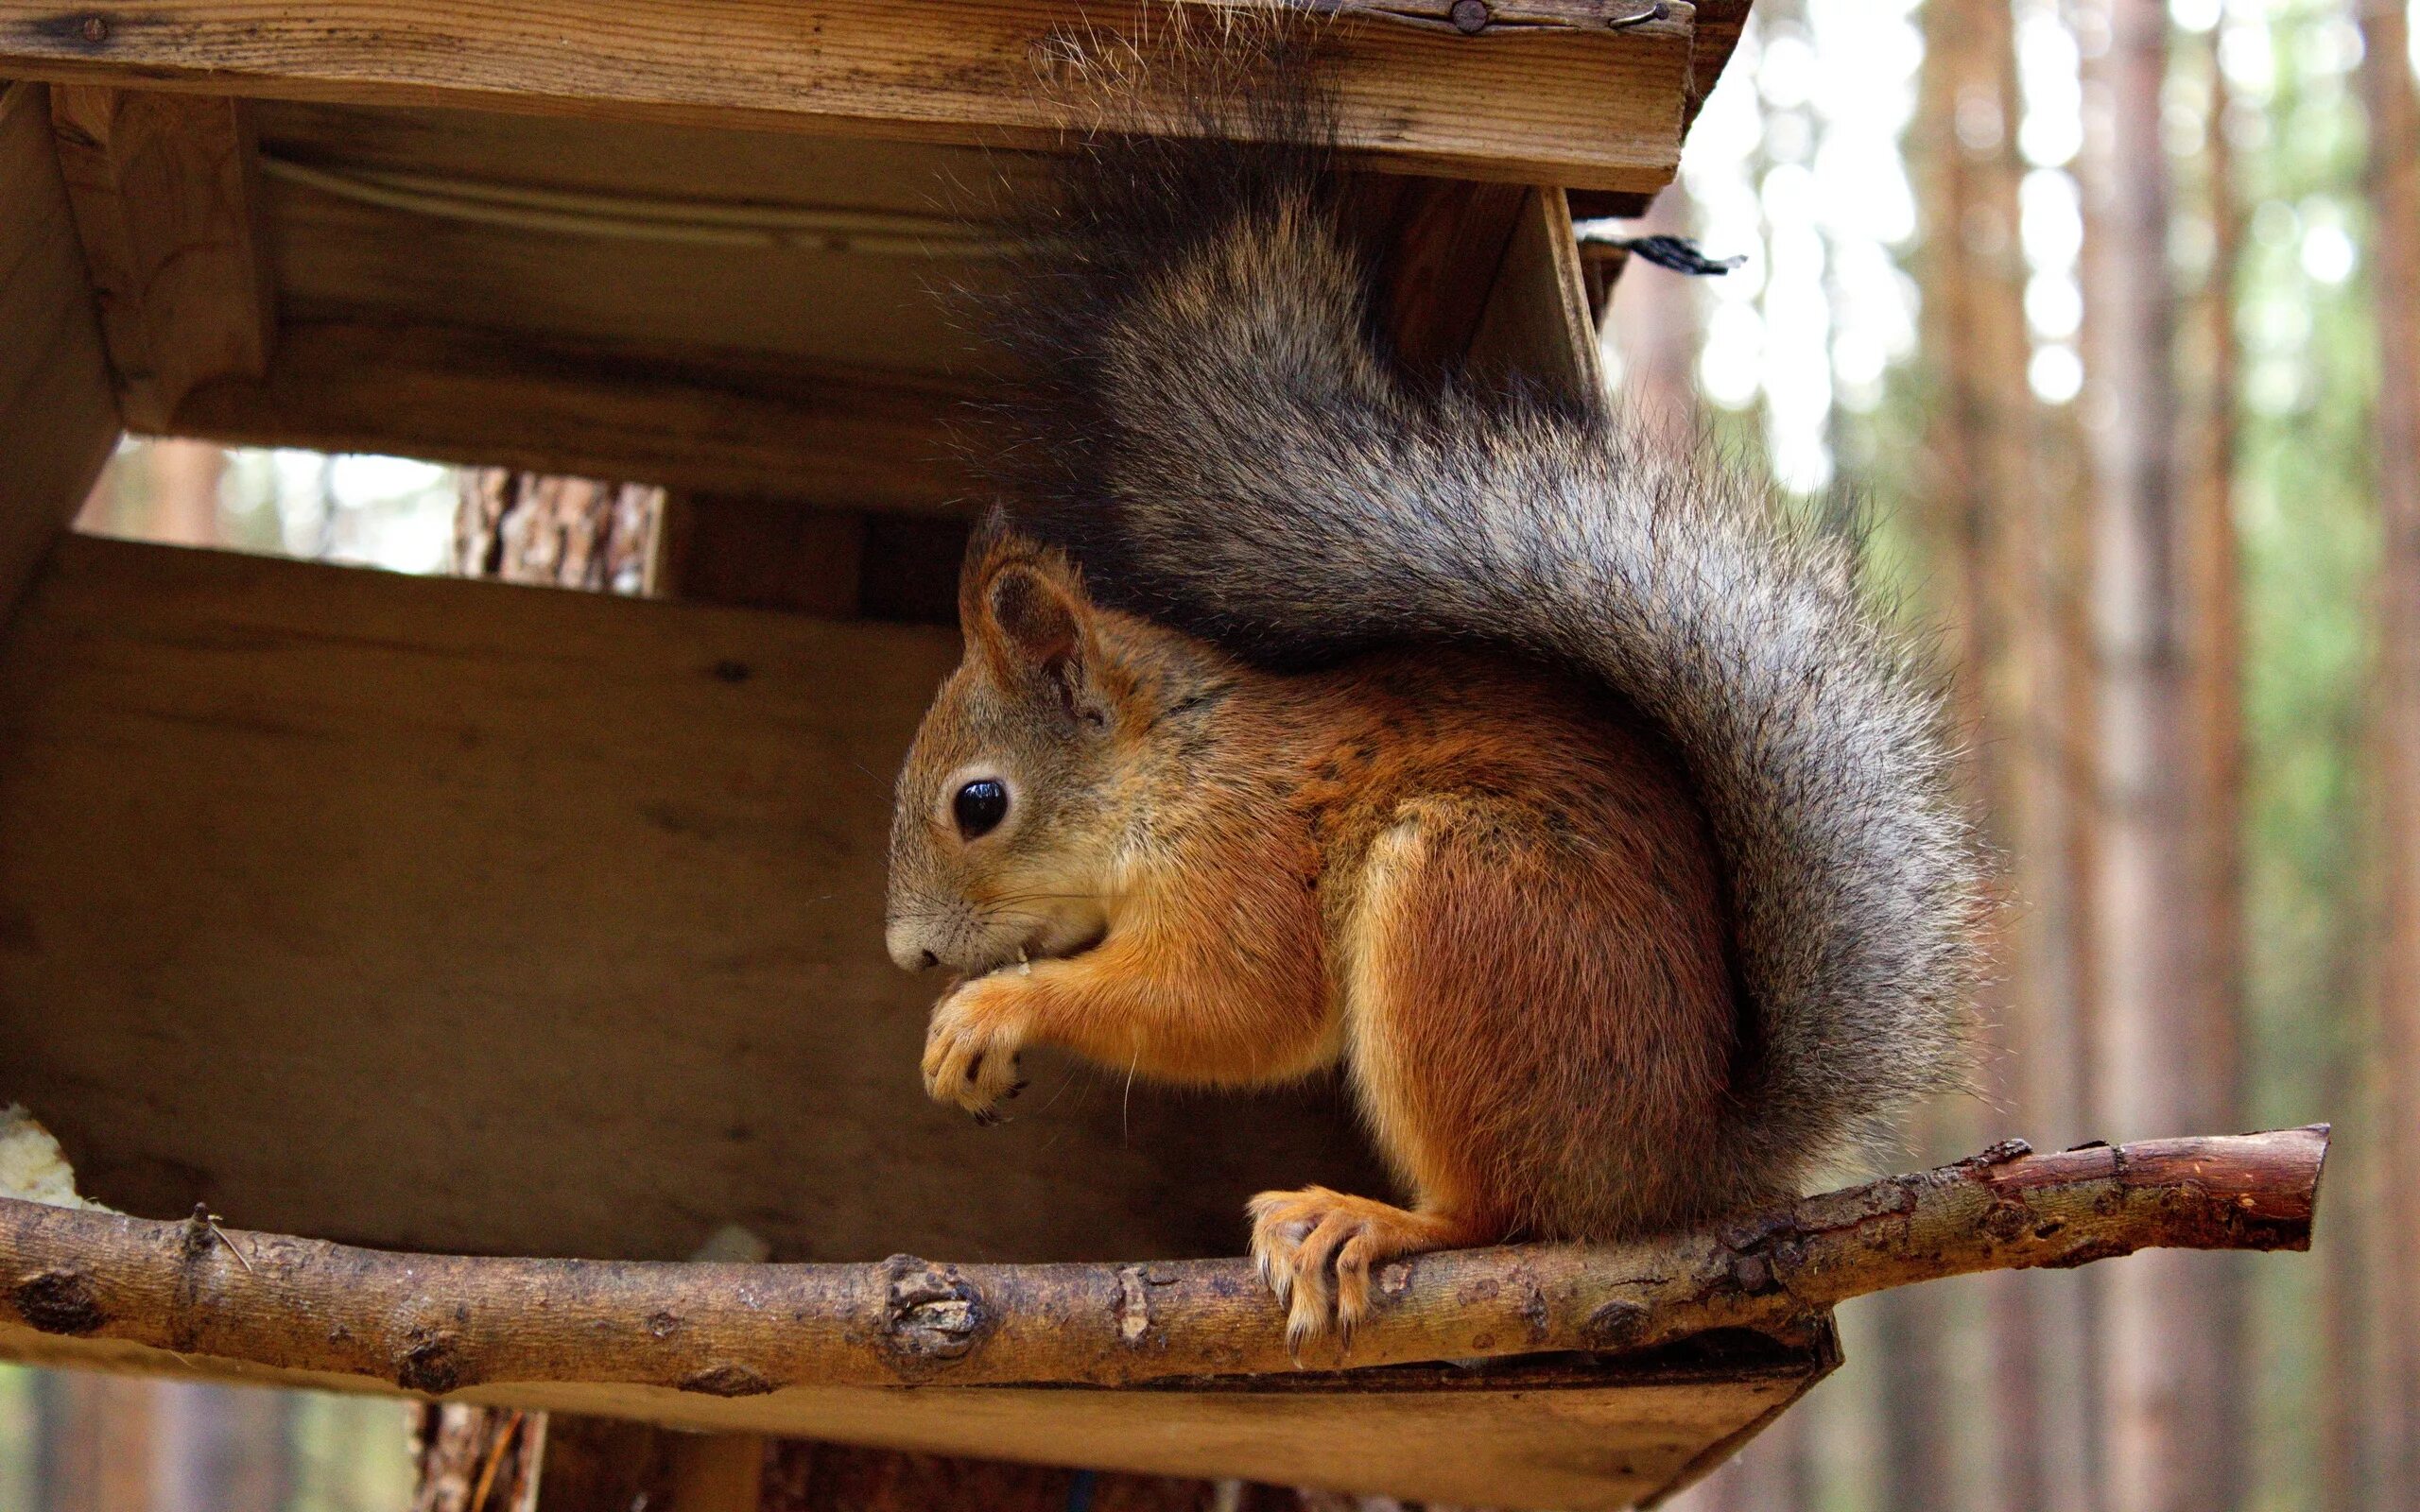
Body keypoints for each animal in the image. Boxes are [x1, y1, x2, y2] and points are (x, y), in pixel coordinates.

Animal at [880, 23, 1974, 1354]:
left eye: (978, 804)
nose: (909, 954)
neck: (1172, 764)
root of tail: (1675, 1171)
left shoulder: (1244, 858)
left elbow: (1234, 1005)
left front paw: (989, 1011)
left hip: (1461, 895)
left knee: (1500, 1213)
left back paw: (1370, 1219)